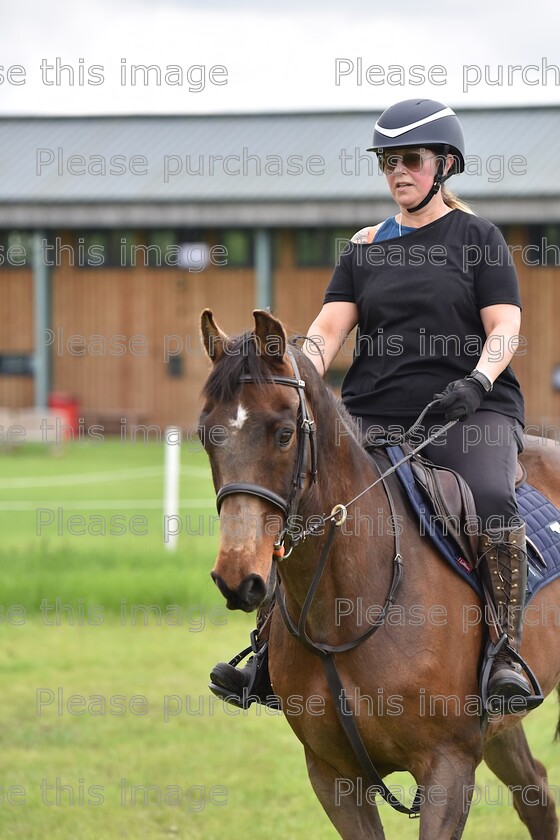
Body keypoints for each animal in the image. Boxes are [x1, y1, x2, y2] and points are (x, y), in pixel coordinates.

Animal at [198, 308, 560, 840]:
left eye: (284, 433)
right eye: (207, 434)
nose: (237, 577)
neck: (346, 610)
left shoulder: (448, 768)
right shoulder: (333, 776)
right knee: (536, 795)